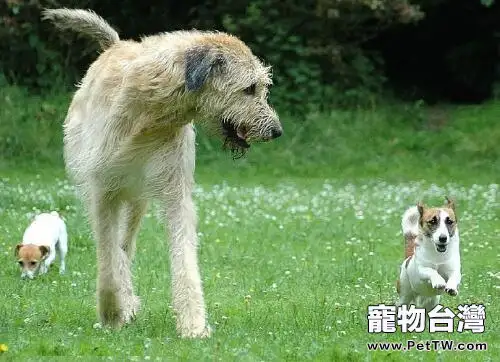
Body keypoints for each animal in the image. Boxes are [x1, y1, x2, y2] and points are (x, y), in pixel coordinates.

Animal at [41, 7, 284, 336]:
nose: (277, 131)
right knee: (115, 249)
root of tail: (115, 44)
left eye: (261, 88)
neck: (150, 116)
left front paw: (193, 324)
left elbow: (183, 254)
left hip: (137, 201)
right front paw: (111, 312)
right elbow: (107, 259)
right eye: (249, 88)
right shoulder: (103, 192)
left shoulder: (174, 191)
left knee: (125, 245)